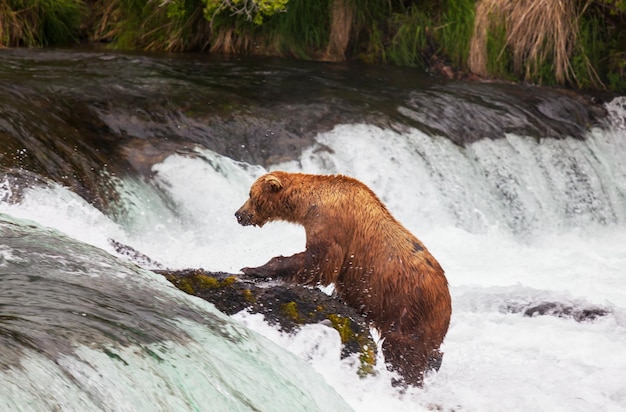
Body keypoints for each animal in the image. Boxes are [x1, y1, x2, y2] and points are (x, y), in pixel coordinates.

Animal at [234, 171, 448, 386]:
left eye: (250, 194)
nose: (238, 214)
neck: (308, 205)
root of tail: (447, 300)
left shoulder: (332, 225)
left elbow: (319, 261)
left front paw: (253, 268)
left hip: (411, 312)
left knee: (405, 354)